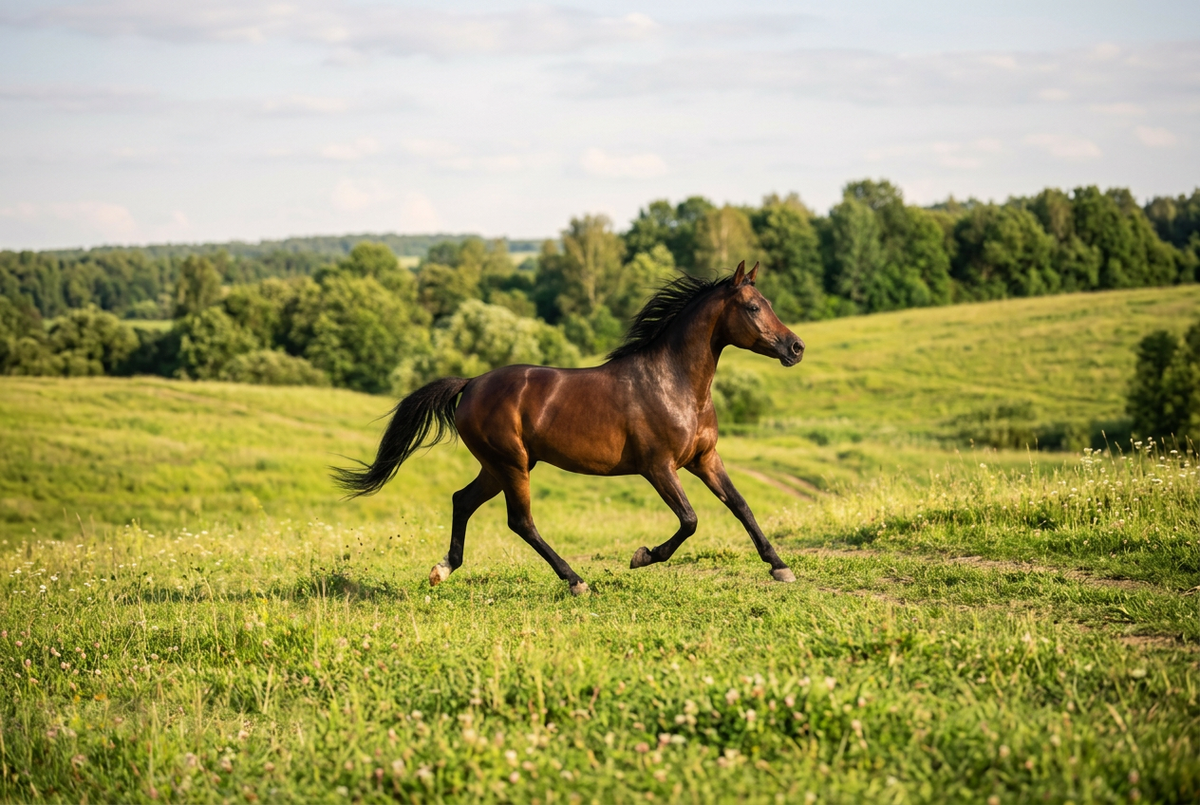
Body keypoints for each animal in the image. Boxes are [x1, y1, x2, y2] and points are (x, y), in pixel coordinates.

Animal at [334, 260, 805, 595]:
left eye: (769, 303)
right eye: (753, 307)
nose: (796, 347)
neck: (674, 383)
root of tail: (471, 384)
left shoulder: (705, 459)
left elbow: (740, 505)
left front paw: (780, 567)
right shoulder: (658, 467)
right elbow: (689, 520)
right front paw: (642, 556)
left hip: (499, 466)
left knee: (462, 500)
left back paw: (443, 570)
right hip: (512, 465)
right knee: (520, 522)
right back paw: (577, 581)